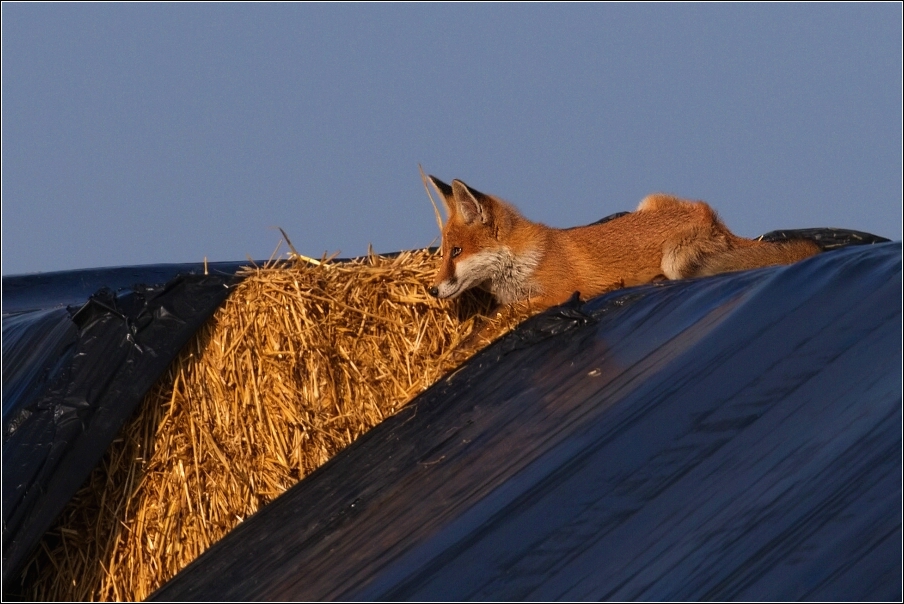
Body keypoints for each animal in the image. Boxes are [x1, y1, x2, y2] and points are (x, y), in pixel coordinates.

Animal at [424, 173, 820, 306]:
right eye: (443, 254)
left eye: (457, 252)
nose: (431, 289)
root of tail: (714, 218)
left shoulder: (560, 291)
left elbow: (507, 313)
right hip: (646, 202)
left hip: (674, 258)